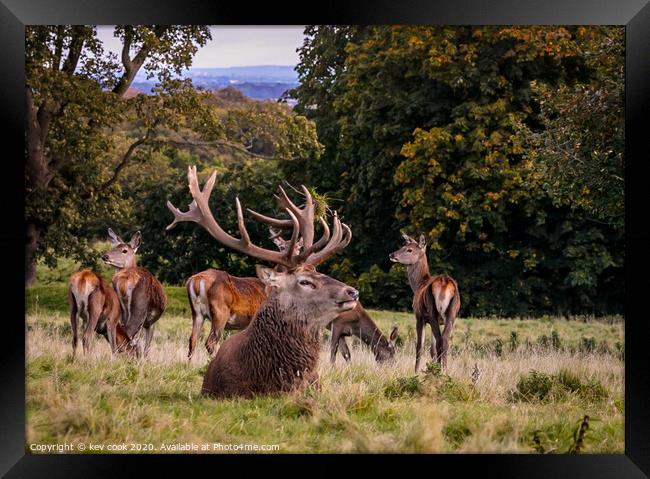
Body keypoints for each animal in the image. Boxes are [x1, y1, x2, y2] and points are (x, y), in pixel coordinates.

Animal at [102, 230, 167, 360]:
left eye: (124, 250)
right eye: (113, 247)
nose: (105, 256)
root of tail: (124, 279)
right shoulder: (150, 322)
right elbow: (147, 345)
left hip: (117, 308)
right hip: (139, 307)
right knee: (129, 333)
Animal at [166, 167, 360, 400]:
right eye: (305, 282)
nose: (352, 292)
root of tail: (195, 281)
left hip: (198, 315)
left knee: (193, 340)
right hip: (219, 313)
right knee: (209, 341)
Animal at [388, 232, 458, 372]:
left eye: (409, 250)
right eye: (403, 246)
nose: (391, 255)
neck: (418, 285)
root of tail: (444, 282)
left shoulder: (419, 316)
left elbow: (419, 346)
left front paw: (415, 372)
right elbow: (432, 349)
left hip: (432, 312)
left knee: (440, 340)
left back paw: (440, 371)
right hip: (451, 314)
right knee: (445, 341)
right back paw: (445, 371)